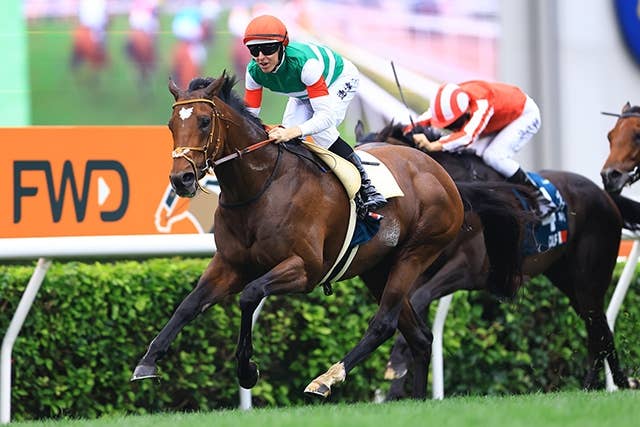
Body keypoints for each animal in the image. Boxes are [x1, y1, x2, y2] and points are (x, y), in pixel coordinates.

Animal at [130, 72, 529, 400]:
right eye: (170, 124)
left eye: (203, 120)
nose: (181, 179)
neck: (260, 187)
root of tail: (442, 175)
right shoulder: (229, 264)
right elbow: (189, 304)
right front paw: (148, 362)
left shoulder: (304, 268)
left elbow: (250, 295)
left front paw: (246, 370)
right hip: (377, 269)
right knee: (420, 337)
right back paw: (417, 400)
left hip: (415, 253)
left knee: (383, 323)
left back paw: (326, 379)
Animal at [355, 121, 640, 398]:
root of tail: (605, 196)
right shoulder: (418, 267)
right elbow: (408, 306)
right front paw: (395, 384)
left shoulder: (469, 270)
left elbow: (418, 298)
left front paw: (396, 366)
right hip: (567, 280)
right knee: (599, 327)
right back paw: (612, 383)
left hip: (589, 278)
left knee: (598, 326)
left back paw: (604, 384)